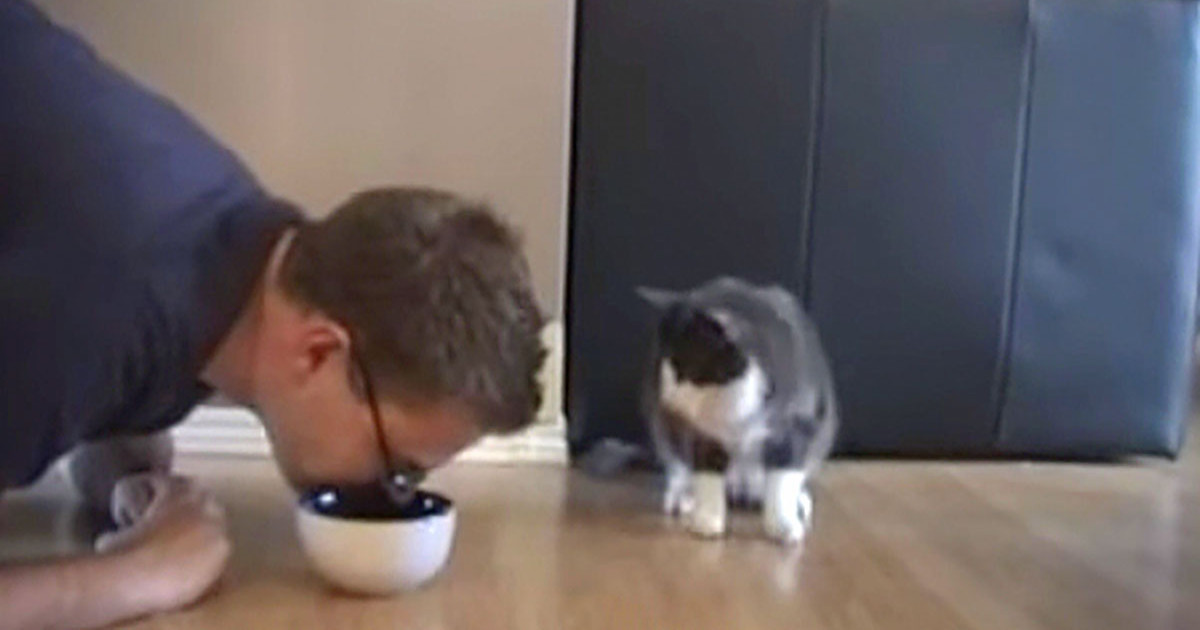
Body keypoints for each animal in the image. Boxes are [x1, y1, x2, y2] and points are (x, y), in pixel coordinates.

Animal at [638, 277, 838, 544]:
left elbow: (783, 475)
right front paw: (707, 519)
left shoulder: (797, 417)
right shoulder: (702, 433)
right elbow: (707, 469)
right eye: (659, 364)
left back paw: (798, 500)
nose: (665, 397)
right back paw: (684, 493)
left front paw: (783, 525)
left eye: (685, 369)